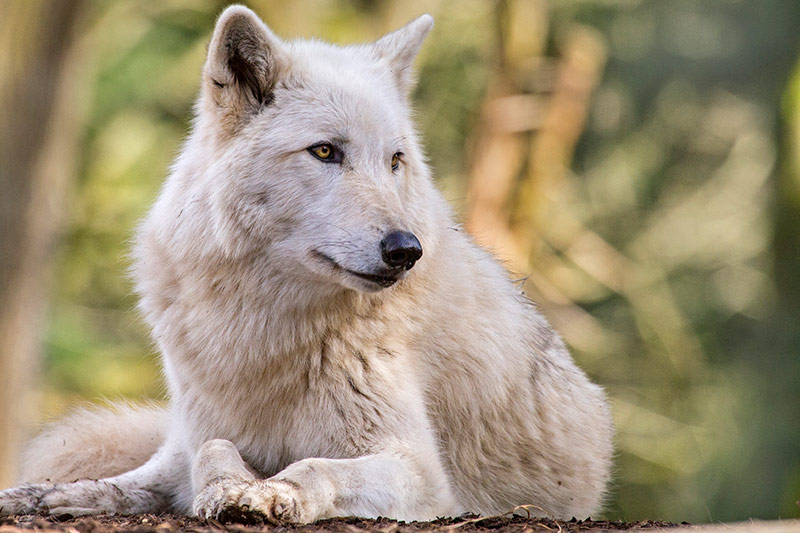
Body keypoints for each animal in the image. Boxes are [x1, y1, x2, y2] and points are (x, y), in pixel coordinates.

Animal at [0, 5, 613, 524]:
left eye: (395, 160)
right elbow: (196, 456)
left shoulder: (421, 474)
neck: (262, 325)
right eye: (324, 151)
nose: (406, 250)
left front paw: (270, 492)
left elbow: (315, 466)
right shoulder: (196, 437)